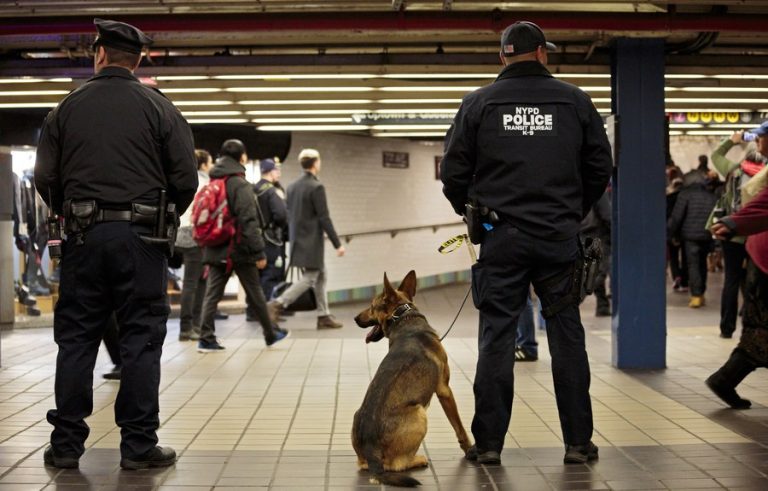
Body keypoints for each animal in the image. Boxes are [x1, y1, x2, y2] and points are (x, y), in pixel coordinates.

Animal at [352, 270, 472, 490]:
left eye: (372, 306)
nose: (355, 318)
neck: (404, 318)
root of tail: (372, 450)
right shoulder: (445, 390)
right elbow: (459, 427)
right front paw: (471, 450)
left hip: (358, 419)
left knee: (363, 464)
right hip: (419, 413)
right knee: (397, 464)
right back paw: (419, 459)